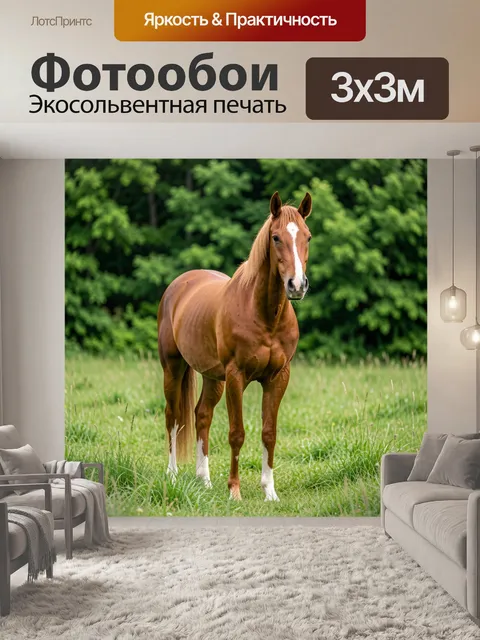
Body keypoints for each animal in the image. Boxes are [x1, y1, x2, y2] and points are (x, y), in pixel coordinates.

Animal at [157, 191, 312, 501]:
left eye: (308, 237)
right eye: (276, 237)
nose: (297, 285)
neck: (264, 316)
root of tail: (179, 285)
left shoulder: (278, 378)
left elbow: (269, 433)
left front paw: (270, 492)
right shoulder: (236, 376)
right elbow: (236, 433)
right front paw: (234, 492)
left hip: (212, 377)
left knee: (201, 416)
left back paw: (204, 480)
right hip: (173, 368)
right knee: (173, 417)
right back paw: (172, 474)